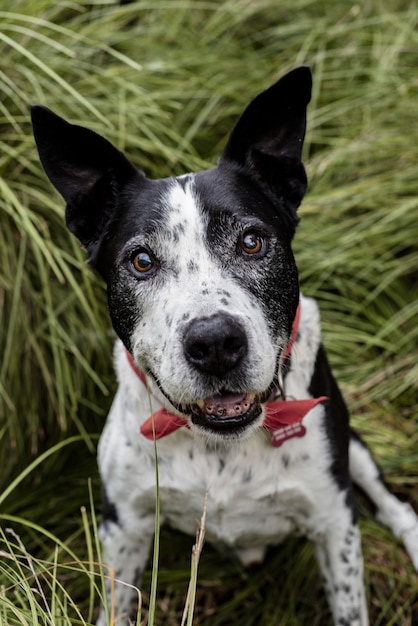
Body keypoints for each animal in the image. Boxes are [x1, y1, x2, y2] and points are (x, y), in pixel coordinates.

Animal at [31, 66, 418, 620]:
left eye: (252, 241)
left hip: (354, 452)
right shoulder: (123, 526)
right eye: (141, 260)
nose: (215, 342)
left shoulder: (334, 522)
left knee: (391, 500)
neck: (221, 444)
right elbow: (115, 606)